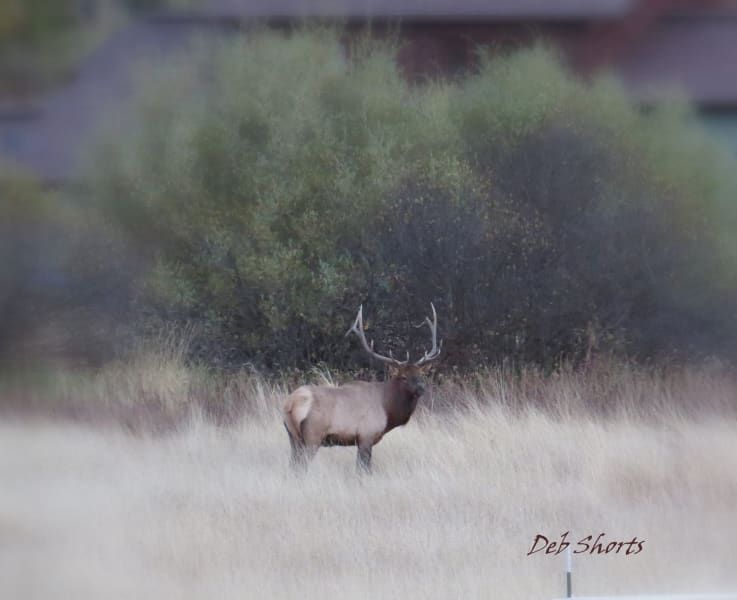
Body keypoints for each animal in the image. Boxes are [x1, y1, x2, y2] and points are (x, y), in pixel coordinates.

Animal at [282, 304, 442, 473]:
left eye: (420, 374)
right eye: (403, 377)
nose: (421, 388)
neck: (388, 409)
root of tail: (290, 404)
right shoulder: (366, 435)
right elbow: (363, 468)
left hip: (293, 437)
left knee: (293, 465)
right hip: (312, 436)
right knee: (301, 466)